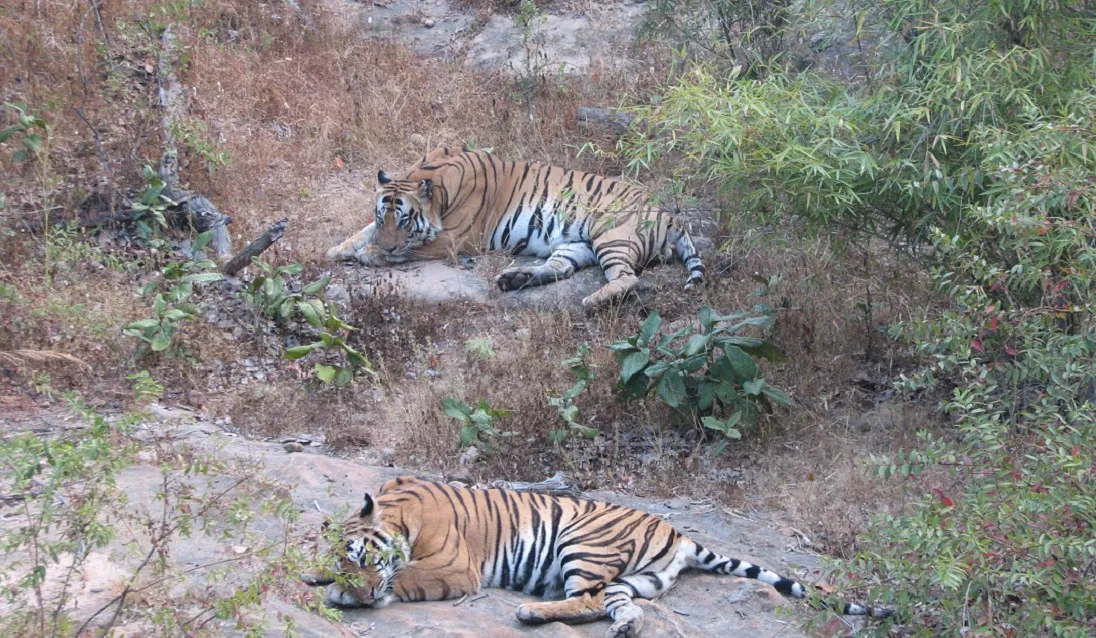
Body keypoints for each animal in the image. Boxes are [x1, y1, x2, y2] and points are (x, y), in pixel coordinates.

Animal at [302, 477, 889, 635]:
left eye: (363, 558)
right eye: (343, 559)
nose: (357, 591)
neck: (398, 513)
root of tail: (678, 532)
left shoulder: (454, 568)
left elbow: (403, 579)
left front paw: (351, 597)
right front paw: (317, 579)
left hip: (582, 543)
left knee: (581, 600)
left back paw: (530, 612)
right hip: (635, 581)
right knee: (615, 606)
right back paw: (625, 627)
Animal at [320, 147, 705, 313]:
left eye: (404, 220)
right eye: (383, 216)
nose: (387, 247)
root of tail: (671, 215)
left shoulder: (452, 239)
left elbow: (408, 249)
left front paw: (372, 254)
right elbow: (362, 231)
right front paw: (339, 248)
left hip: (612, 238)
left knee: (627, 279)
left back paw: (592, 300)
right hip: (577, 244)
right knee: (559, 268)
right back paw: (514, 279)